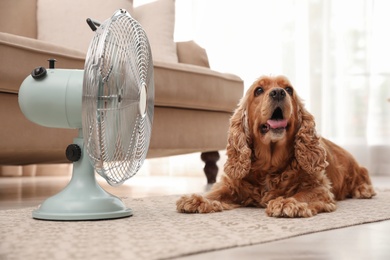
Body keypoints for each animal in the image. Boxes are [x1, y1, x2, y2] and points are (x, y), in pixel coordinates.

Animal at [176, 74, 374, 217]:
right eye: (258, 90)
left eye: (289, 89)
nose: (278, 92)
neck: (269, 165)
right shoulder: (232, 186)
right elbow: (215, 193)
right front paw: (197, 199)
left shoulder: (319, 187)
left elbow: (304, 194)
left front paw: (288, 202)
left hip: (355, 170)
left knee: (363, 175)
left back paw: (363, 190)